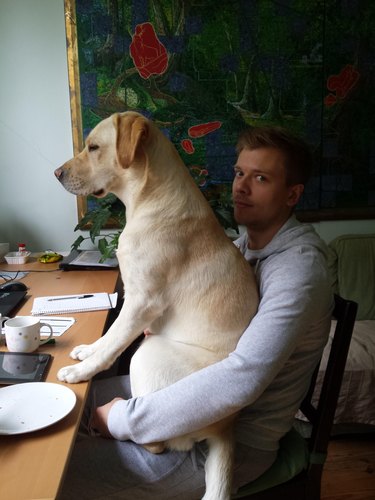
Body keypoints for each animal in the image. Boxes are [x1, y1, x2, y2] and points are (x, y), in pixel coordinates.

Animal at [54, 111, 258, 498]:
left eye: (93, 147)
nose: (56, 173)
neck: (149, 199)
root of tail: (227, 428)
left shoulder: (142, 302)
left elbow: (114, 343)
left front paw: (82, 371)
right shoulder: (131, 298)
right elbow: (108, 338)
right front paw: (87, 352)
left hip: (148, 352)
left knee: (158, 440)